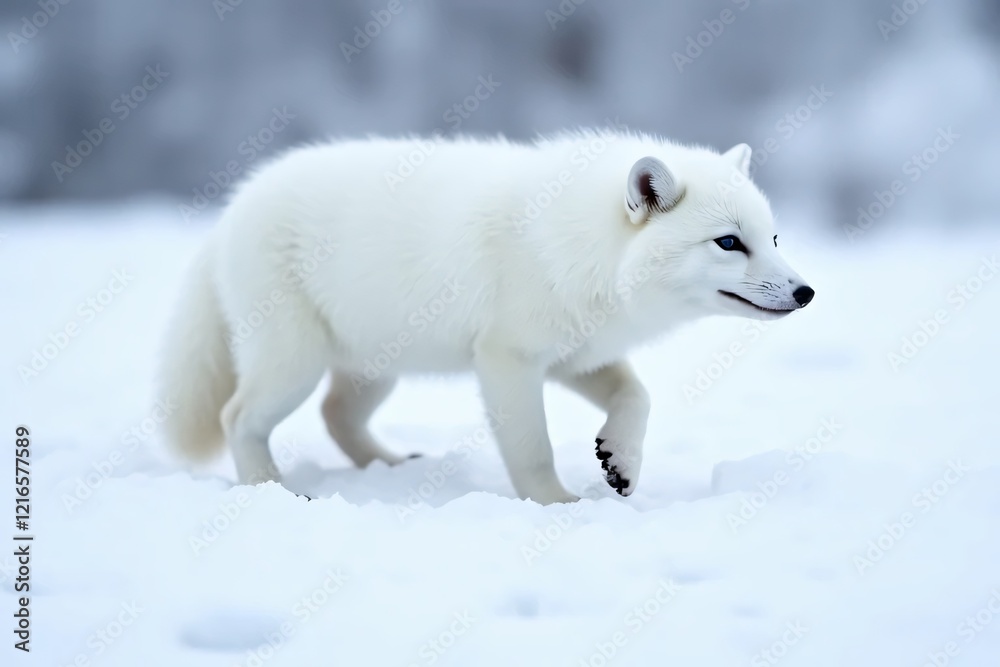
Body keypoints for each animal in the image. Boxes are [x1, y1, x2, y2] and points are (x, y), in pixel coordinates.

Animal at [159, 130, 814, 505]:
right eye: (729, 243)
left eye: (774, 237)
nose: (806, 292)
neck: (574, 243)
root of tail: (230, 211)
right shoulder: (508, 360)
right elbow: (532, 449)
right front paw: (557, 505)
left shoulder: (576, 357)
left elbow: (638, 395)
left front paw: (620, 462)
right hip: (294, 364)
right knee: (237, 416)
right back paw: (267, 490)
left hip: (376, 367)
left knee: (336, 415)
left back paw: (392, 466)